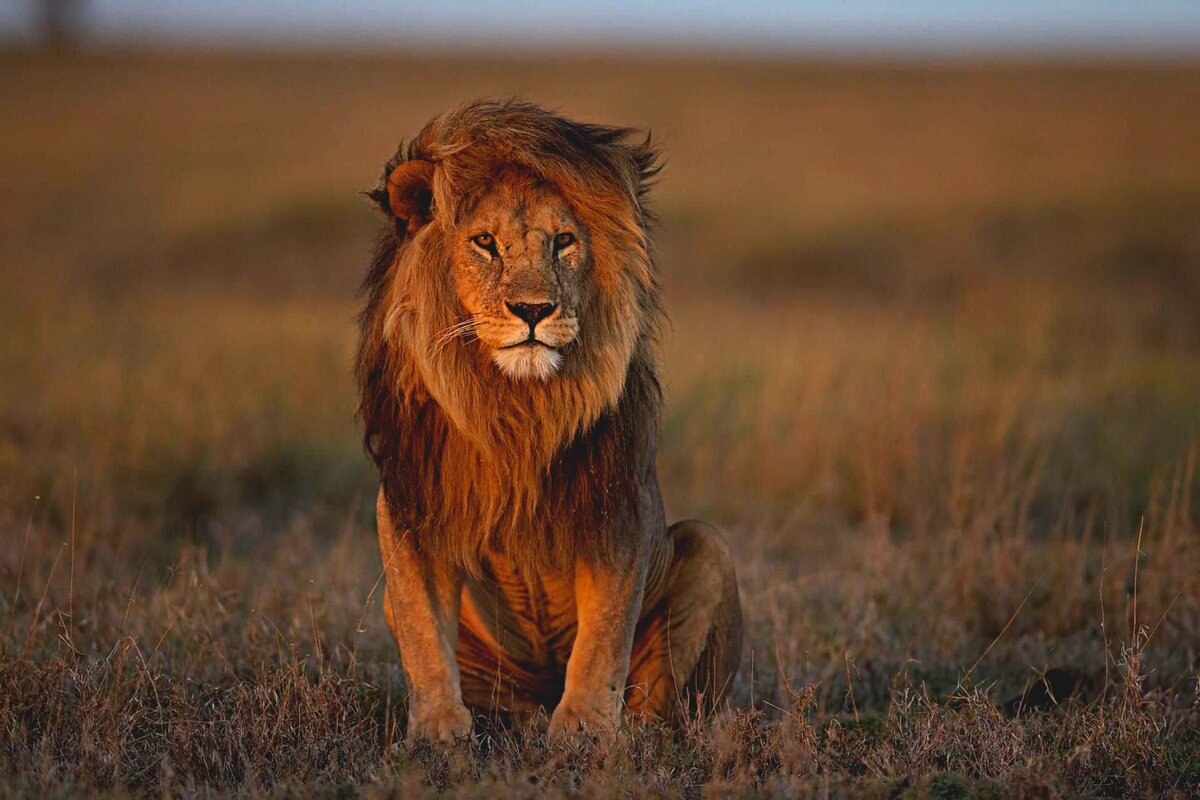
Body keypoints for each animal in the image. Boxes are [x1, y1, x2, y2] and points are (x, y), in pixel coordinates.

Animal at [356, 100, 742, 742]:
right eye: (485, 242)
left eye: (563, 242)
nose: (533, 310)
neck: (518, 407)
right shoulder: (413, 504)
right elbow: (421, 630)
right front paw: (437, 729)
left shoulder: (617, 504)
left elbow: (603, 637)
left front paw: (584, 728)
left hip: (707, 548)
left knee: (658, 697)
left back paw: (634, 731)